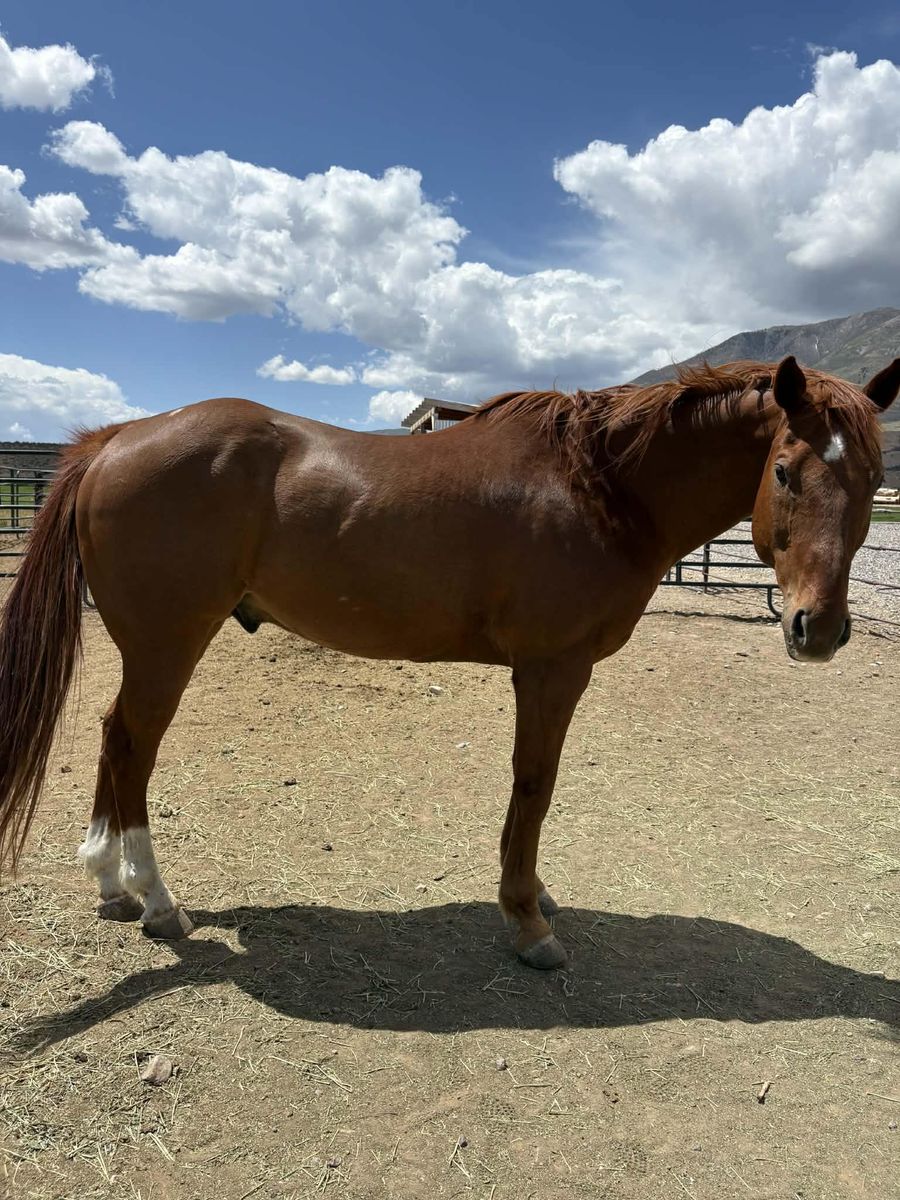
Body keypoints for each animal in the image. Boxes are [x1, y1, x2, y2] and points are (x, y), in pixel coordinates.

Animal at [0, 355, 895, 969]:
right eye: (784, 472)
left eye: (876, 480)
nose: (818, 629)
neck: (602, 486)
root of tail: (116, 441)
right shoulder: (552, 669)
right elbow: (534, 786)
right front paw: (527, 918)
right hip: (168, 643)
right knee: (133, 745)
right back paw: (156, 902)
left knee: (114, 737)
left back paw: (111, 884)